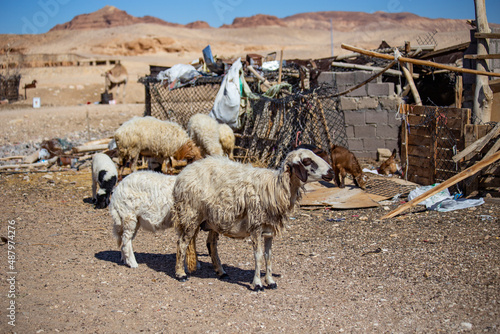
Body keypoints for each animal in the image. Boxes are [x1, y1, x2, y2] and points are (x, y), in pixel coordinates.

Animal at [173, 148, 336, 290]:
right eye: (307, 160)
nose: (331, 172)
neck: (276, 187)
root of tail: (185, 171)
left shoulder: (269, 228)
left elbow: (268, 256)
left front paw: (270, 281)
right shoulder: (256, 226)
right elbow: (258, 256)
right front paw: (257, 284)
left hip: (215, 219)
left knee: (210, 243)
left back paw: (220, 272)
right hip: (190, 213)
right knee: (182, 242)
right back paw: (181, 273)